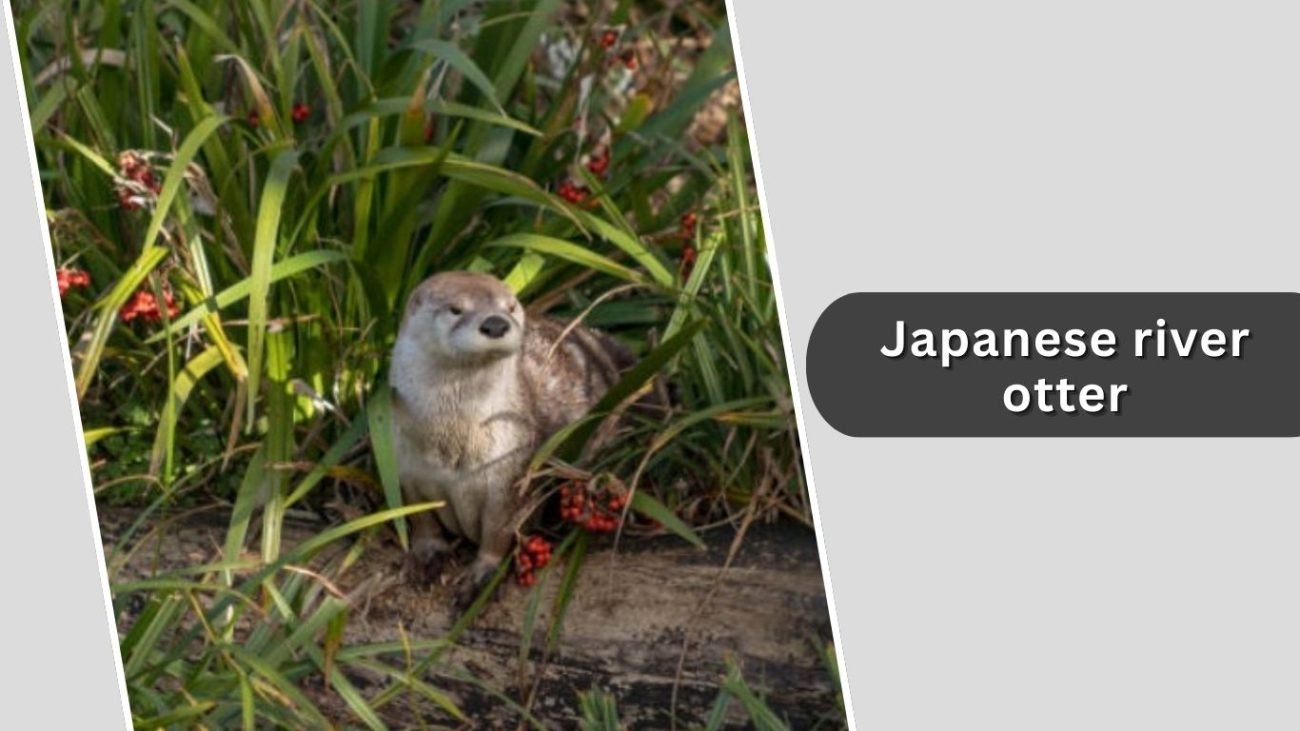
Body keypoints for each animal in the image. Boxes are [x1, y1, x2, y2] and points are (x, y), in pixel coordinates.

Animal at [390, 271, 636, 606]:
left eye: (510, 307)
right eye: (456, 309)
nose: (495, 323)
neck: (451, 445)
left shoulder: (512, 471)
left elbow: (500, 531)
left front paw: (481, 576)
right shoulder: (405, 469)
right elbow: (420, 520)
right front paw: (425, 556)